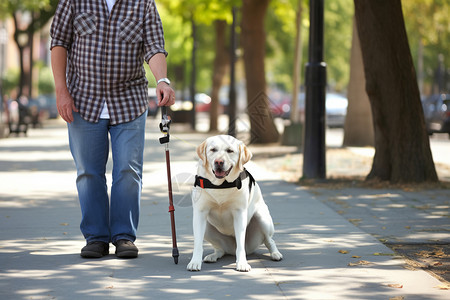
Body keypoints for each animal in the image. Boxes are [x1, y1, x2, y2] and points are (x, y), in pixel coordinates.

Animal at [186, 134, 282, 272]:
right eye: (213, 150)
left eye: (230, 151)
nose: (218, 162)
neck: (221, 185)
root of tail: (230, 249)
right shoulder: (200, 214)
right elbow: (198, 243)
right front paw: (195, 262)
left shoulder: (239, 214)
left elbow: (240, 244)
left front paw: (242, 263)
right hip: (208, 227)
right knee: (220, 249)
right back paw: (213, 255)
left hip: (262, 220)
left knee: (269, 240)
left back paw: (275, 253)